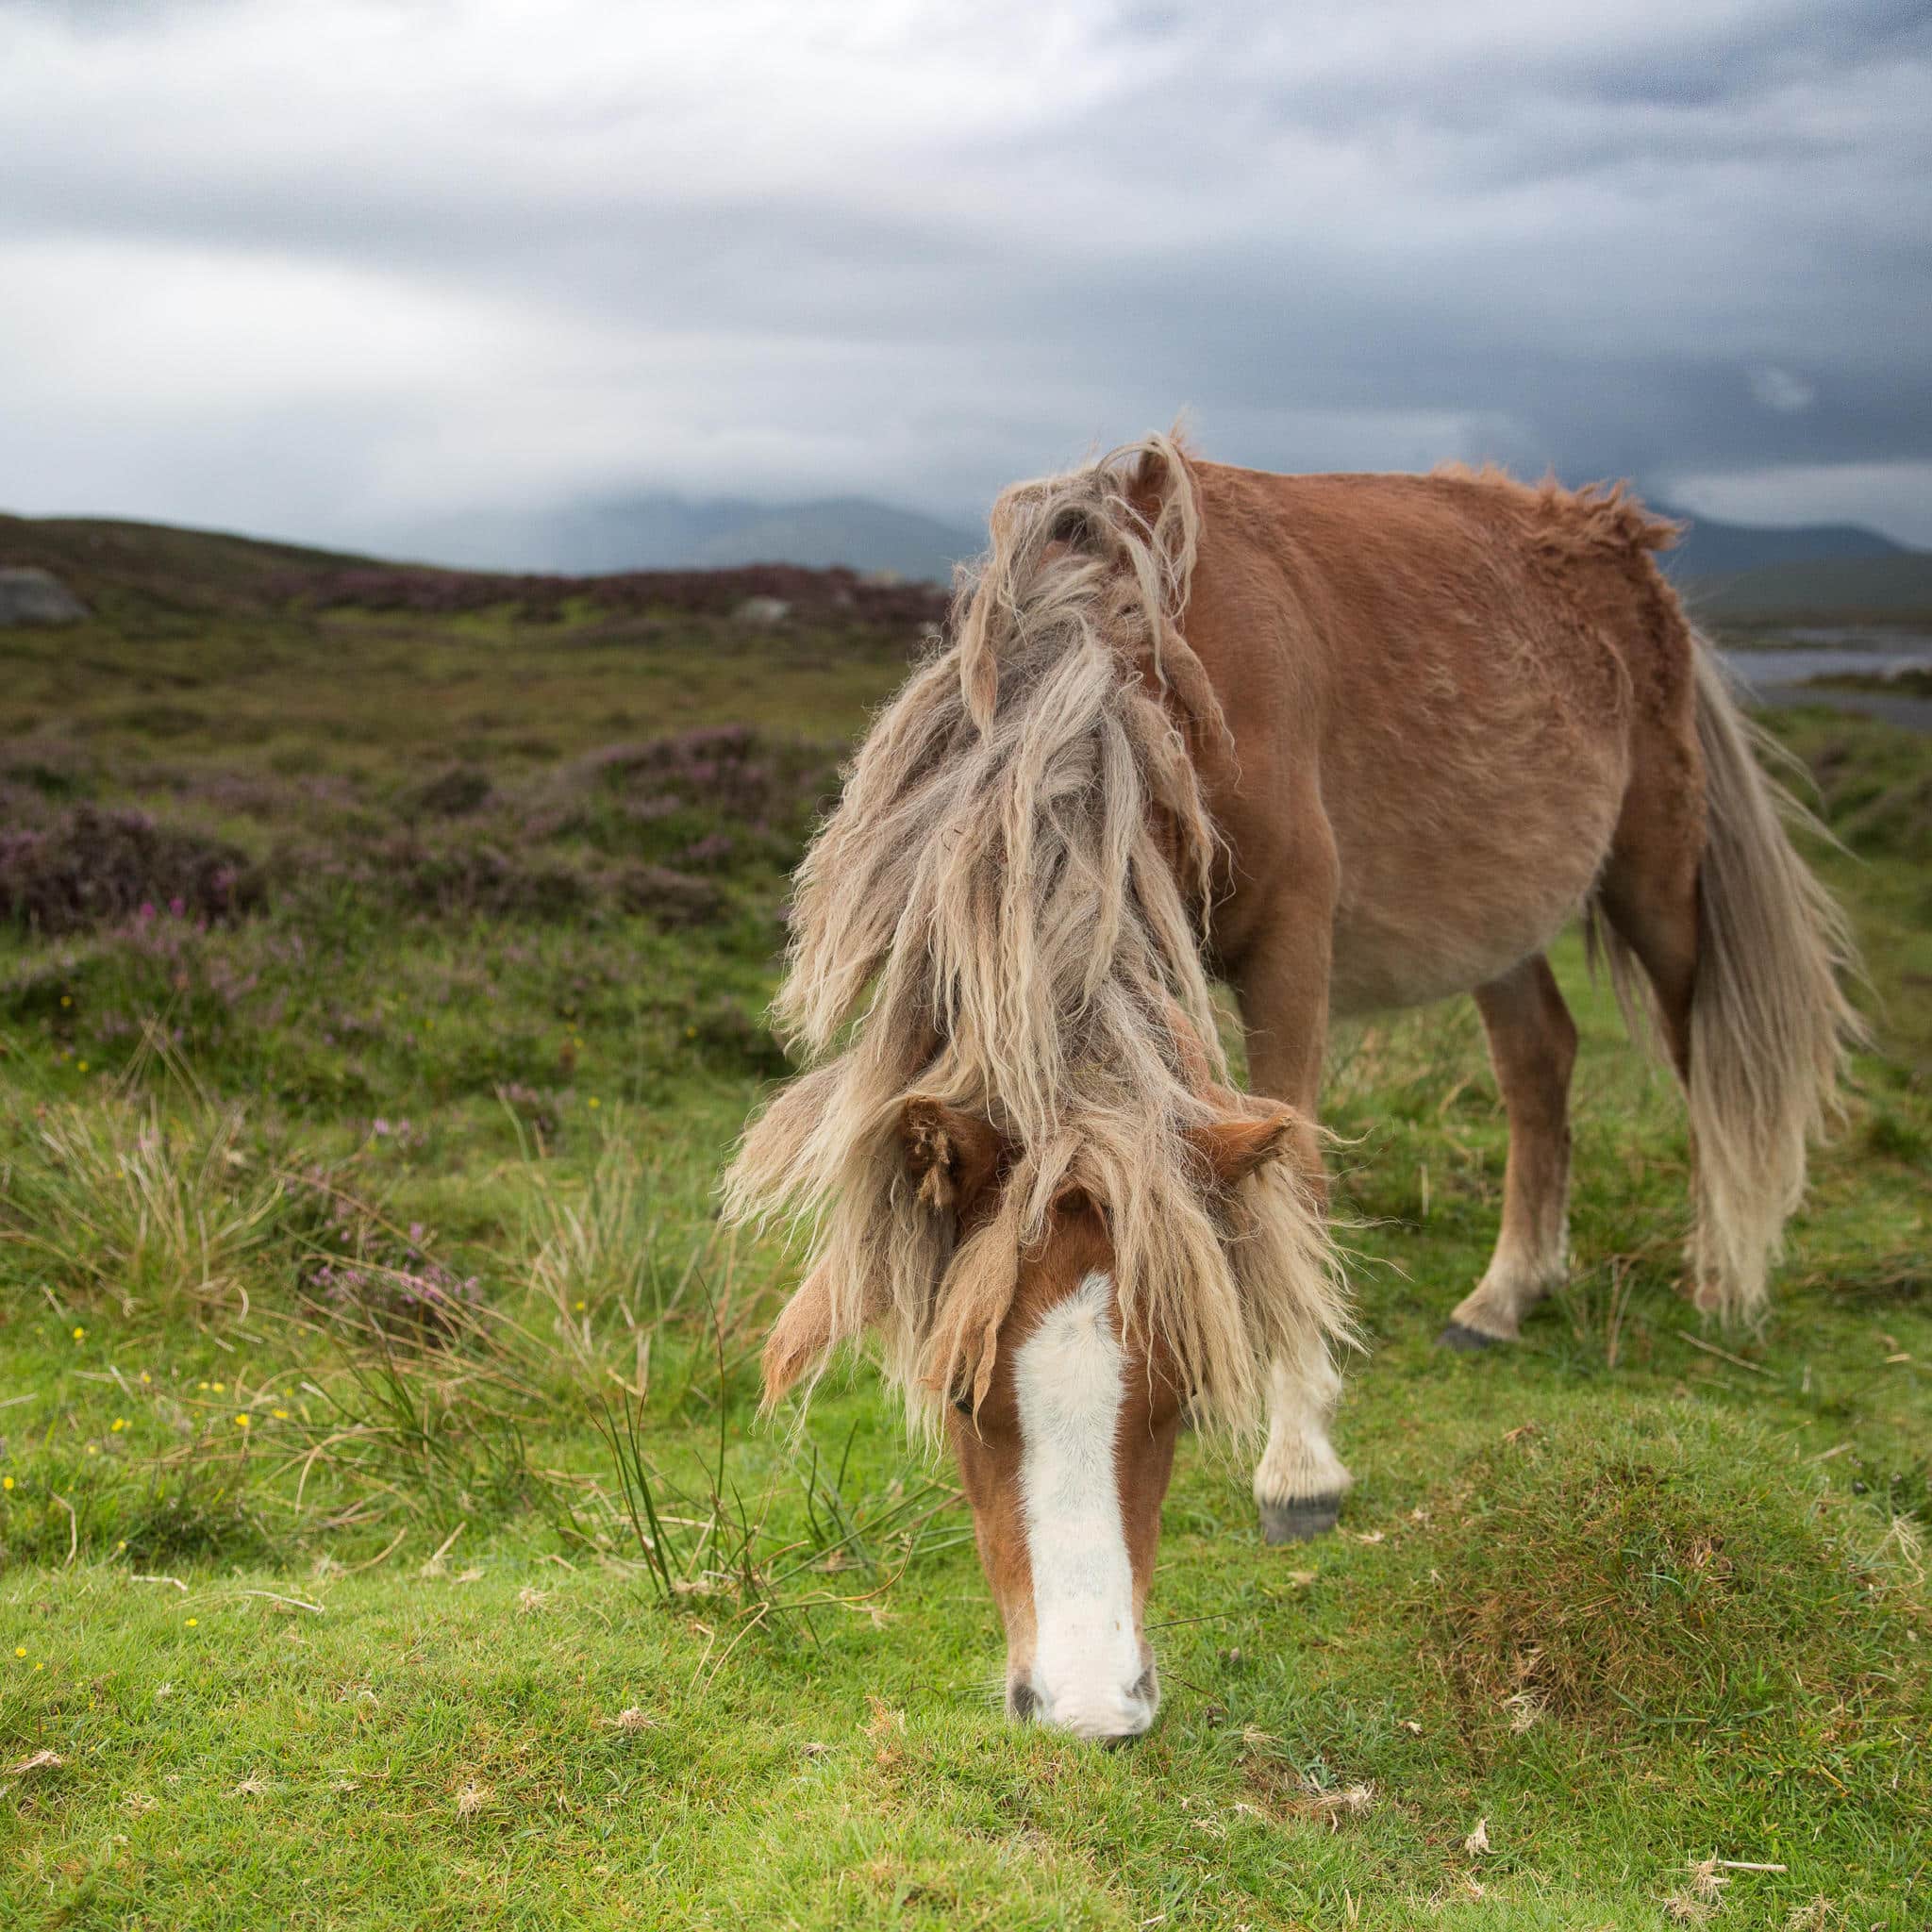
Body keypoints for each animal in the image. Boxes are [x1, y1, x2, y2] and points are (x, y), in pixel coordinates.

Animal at [724, 433, 1862, 1743]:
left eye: (1181, 1389)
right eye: (960, 1395)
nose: (1087, 1706)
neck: (1163, 669)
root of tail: (1619, 539)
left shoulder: (1292, 953)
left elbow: (1296, 1182)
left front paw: (1299, 1462)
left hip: (1656, 870)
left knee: (1702, 1057)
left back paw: (1724, 1275)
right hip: (1496, 914)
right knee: (1539, 1058)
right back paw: (1504, 1292)